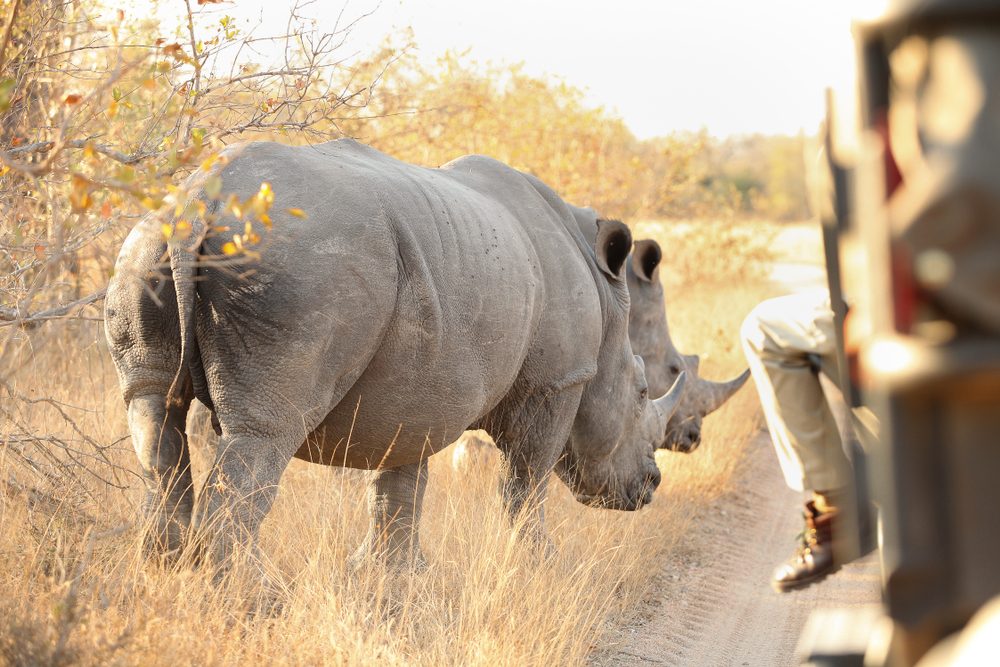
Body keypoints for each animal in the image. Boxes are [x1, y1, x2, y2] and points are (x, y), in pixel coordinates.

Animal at [105, 139, 686, 569]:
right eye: (641, 392)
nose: (651, 485)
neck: (606, 298)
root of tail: (201, 200)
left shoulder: (424, 384)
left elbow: (401, 480)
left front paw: (391, 575)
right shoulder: (559, 379)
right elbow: (527, 481)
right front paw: (539, 565)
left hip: (146, 249)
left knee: (153, 409)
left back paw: (164, 570)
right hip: (297, 264)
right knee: (265, 431)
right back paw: (251, 599)